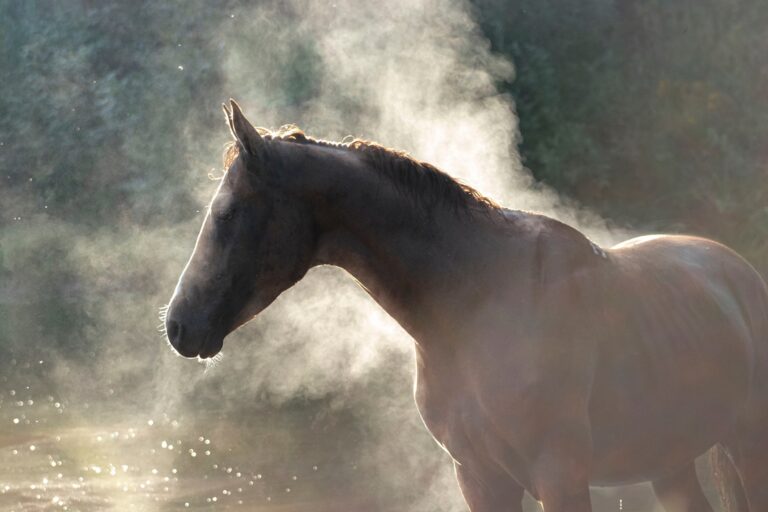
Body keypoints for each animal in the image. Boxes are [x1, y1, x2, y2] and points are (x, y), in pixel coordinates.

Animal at [165, 100, 768, 512]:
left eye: (226, 213)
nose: (177, 325)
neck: (476, 305)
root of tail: (737, 272)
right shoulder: (479, 478)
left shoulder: (561, 477)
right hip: (672, 463)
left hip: (746, 445)